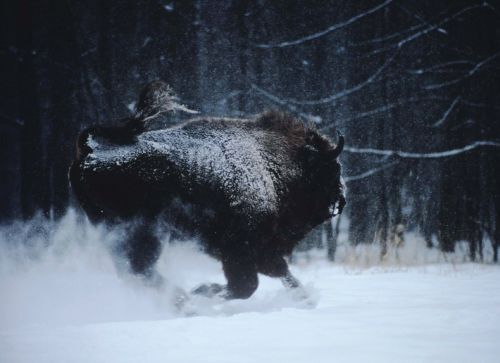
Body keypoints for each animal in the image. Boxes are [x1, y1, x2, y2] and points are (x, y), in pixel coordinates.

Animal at [68, 82, 346, 302]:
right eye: (331, 169)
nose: (341, 201)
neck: (271, 160)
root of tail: (90, 150)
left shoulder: (259, 251)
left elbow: (277, 272)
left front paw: (305, 298)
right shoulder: (242, 247)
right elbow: (246, 285)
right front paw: (202, 291)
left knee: (134, 271)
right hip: (145, 232)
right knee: (140, 269)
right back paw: (182, 300)